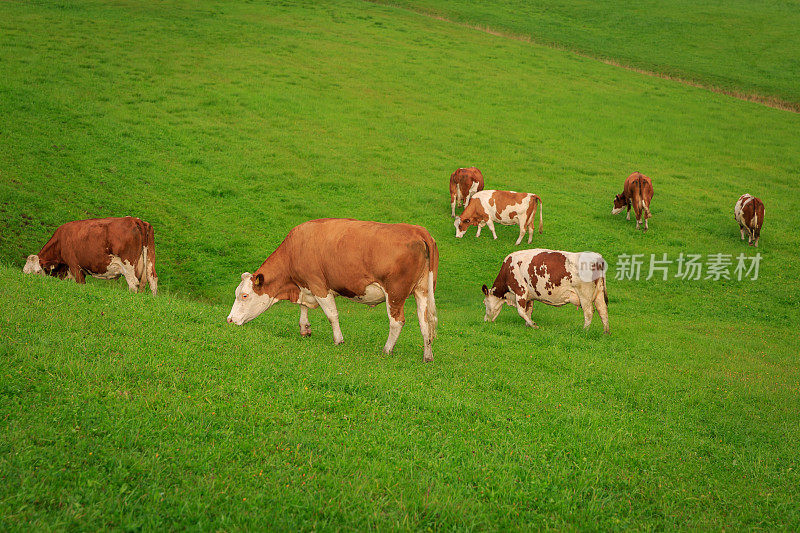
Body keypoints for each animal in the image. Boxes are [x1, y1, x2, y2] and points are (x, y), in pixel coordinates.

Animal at [22, 215, 158, 296]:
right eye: (24, 272)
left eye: (38, 271)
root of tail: (135, 219)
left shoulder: (75, 266)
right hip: (149, 262)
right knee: (152, 280)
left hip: (128, 265)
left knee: (133, 283)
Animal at [225, 217, 440, 362]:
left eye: (244, 295)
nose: (229, 320)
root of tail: (417, 230)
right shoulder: (306, 286)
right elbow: (303, 309)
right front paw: (305, 329)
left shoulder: (319, 285)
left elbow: (332, 315)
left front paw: (338, 340)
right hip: (423, 291)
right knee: (425, 322)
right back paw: (427, 356)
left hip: (395, 292)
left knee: (397, 322)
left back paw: (387, 350)